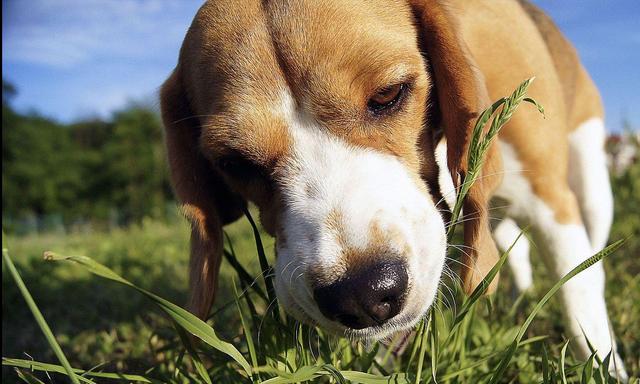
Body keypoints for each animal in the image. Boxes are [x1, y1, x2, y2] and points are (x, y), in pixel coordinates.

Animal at [159, 0, 624, 378]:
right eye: (235, 162)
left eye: (388, 94)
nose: (361, 295)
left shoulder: (551, 202)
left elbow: (579, 293)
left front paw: (605, 366)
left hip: (591, 184)